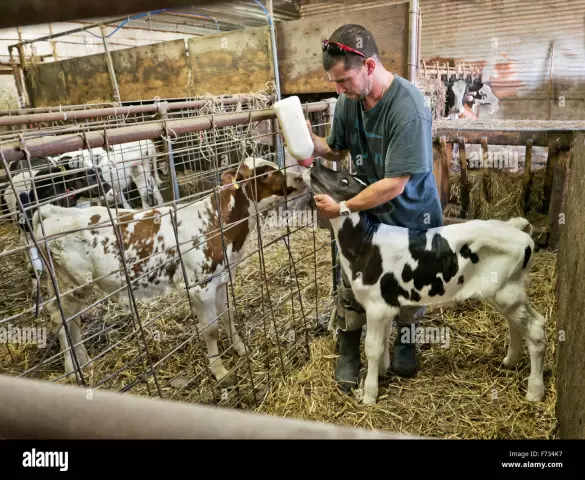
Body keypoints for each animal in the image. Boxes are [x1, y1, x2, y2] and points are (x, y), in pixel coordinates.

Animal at [31, 159, 308, 384]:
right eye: (264, 174)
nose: (300, 177)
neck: (220, 223)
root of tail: (54, 211)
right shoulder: (201, 287)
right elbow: (211, 329)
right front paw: (219, 371)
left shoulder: (221, 279)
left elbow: (228, 316)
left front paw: (240, 349)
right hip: (70, 285)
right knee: (60, 321)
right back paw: (72, 369)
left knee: (72, 322)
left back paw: (85, 362)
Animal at [304, 161, 544, 404]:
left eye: (344, 181)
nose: (314, 163)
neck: (366, 243)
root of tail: (514, 227)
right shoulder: (387, 305)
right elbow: (382, 342)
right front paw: (381, 373)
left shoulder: (376, 306)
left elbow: (372, 347)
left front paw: (369, 394)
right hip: (505, 292)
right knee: (515, 324)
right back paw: (509, 361)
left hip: (507, 292)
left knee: (535, 328)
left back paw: (535, 390)